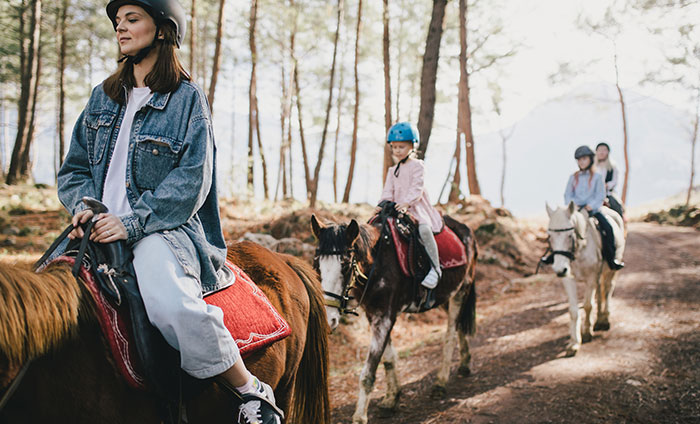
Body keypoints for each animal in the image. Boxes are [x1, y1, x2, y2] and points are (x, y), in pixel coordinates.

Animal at [310, 215, 478, 424]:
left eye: (346, 265)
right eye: (316, 264)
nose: (328, 319)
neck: (378, 264)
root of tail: (466, 230)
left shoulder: (384, 317)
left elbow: (368, 373)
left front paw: (360, 416)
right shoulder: (375, 315)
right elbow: (388, 358)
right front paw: (392, 398)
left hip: (461, 291)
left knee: (450, 335)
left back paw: (440, 382)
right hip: (446, 297)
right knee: (459, 327)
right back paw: (464, 363)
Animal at [544, 200, 628, 356]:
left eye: (570, 235)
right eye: (549, 236)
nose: (559, 269)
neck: (579, 250)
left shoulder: (590, 279)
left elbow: (588, 305)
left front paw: (587, 332)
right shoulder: (569, 279)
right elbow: (573, 311)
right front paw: (574, 343)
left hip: (612, 268)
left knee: (609, 288)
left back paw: (605, 320)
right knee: (601, 292)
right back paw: (599, 319)